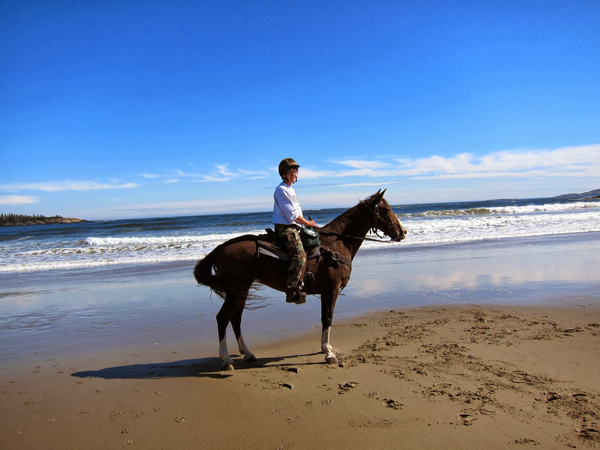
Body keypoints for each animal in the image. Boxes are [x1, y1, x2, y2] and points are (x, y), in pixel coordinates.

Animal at [195, 190, 406, 370]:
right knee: (223, 318)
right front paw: (328, 353)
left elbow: (325, 318)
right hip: (236, 291)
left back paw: (247, 353)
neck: (336, 244)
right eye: (386, 210)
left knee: (235, 319)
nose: (403, 232)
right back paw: (226, 359)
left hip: (241, 290)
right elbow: (327, 318)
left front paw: (325, 348)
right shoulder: (331, 290)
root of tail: (221, 247)